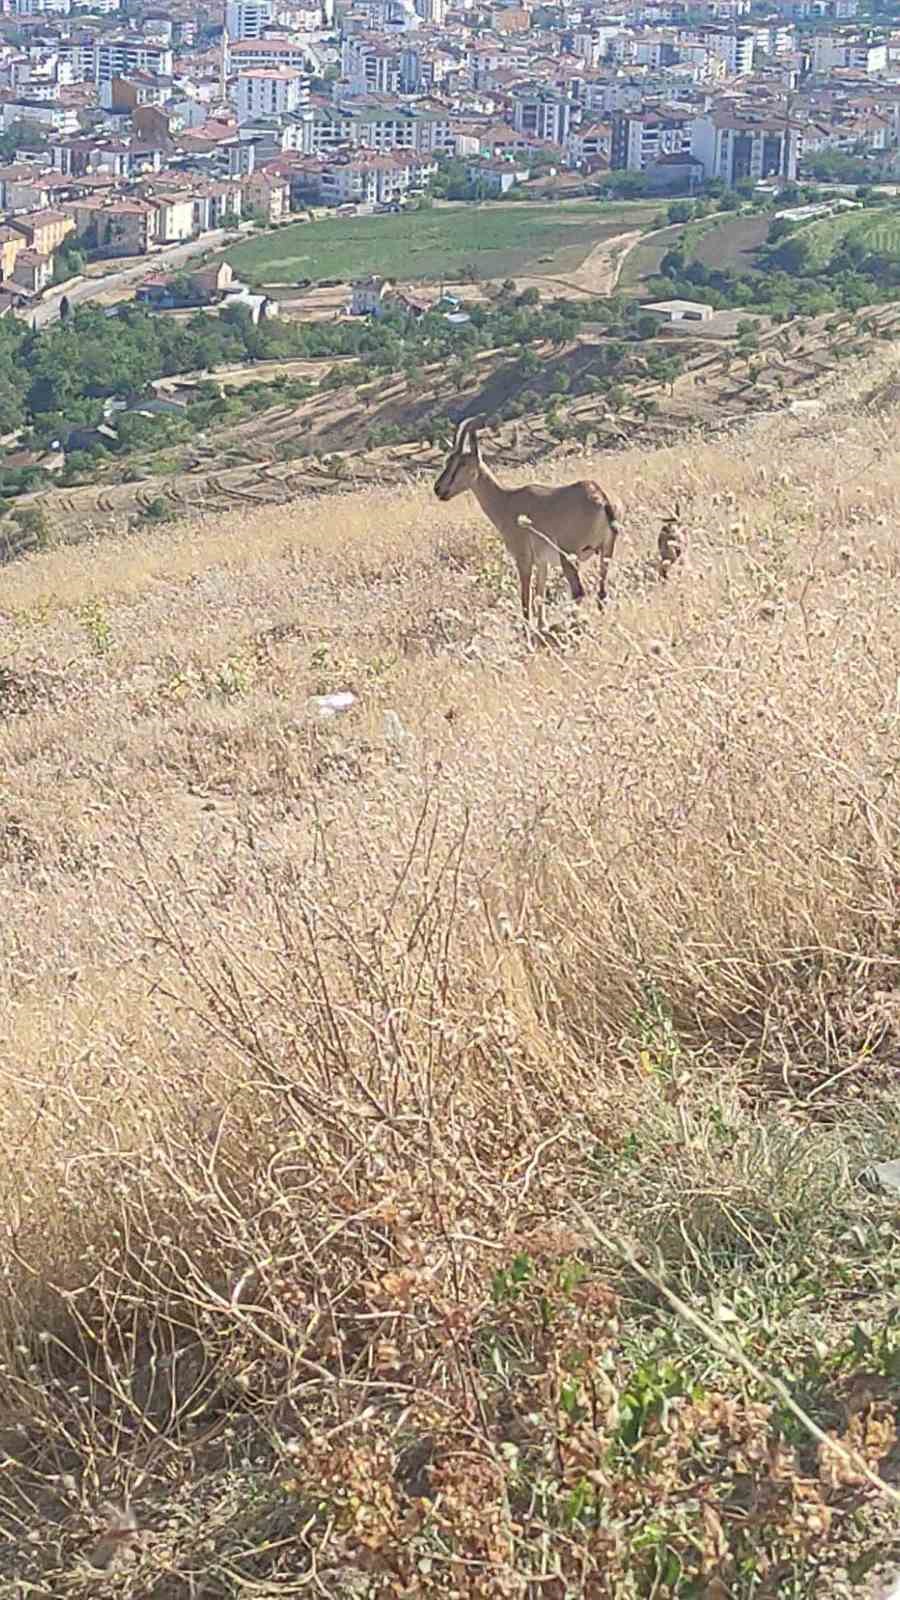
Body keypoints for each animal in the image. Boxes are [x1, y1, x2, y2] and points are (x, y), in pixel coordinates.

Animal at [432, 416, 614, 627]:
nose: (438, 489)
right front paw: (542, 626)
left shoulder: (524, 560)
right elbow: (539, 596)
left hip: (569, 557)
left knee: (578, 592)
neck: (506, 500)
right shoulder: (542, 563)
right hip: (606, 552)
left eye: (461, 463)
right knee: (601, 592)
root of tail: (599, 498)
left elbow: (526, 601)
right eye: (448, 460)